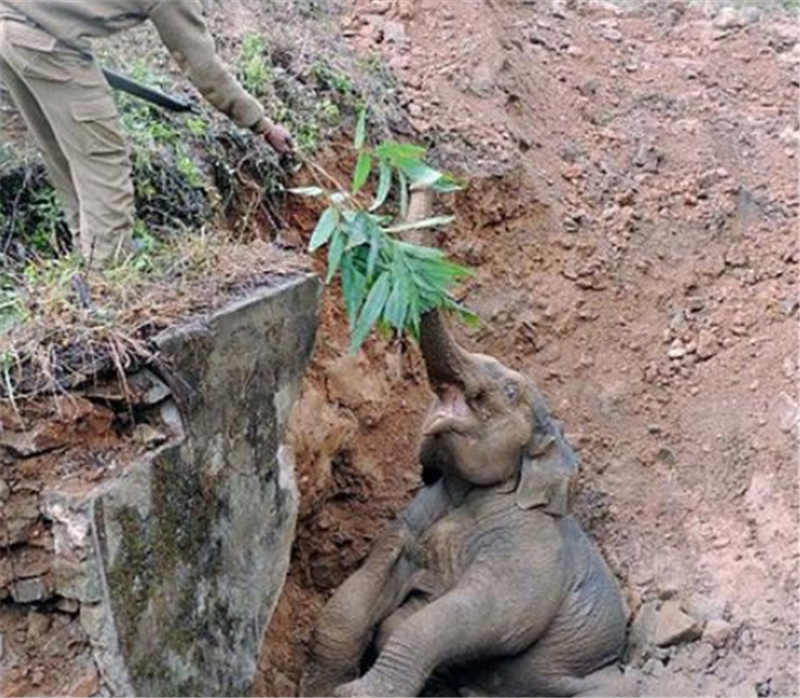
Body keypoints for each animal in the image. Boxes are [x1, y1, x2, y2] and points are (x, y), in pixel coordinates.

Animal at [304, 312, 636, 692]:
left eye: (511, 391)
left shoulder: (531, 544)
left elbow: (495, 613)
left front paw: (355, 693)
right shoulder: (421, 514)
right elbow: (358, 598)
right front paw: (323, 688)